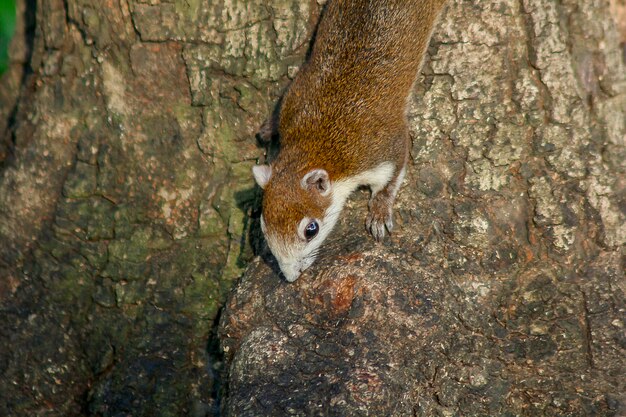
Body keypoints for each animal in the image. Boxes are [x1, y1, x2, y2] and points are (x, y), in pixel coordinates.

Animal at [251, 0, 446, 282]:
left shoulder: (380, 147)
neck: (316, 143)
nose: (291, 277)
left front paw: (380, 210)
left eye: (311, 229)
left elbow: (394, 171)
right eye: (263, 226)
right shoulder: (296, 98)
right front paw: (269, 127)